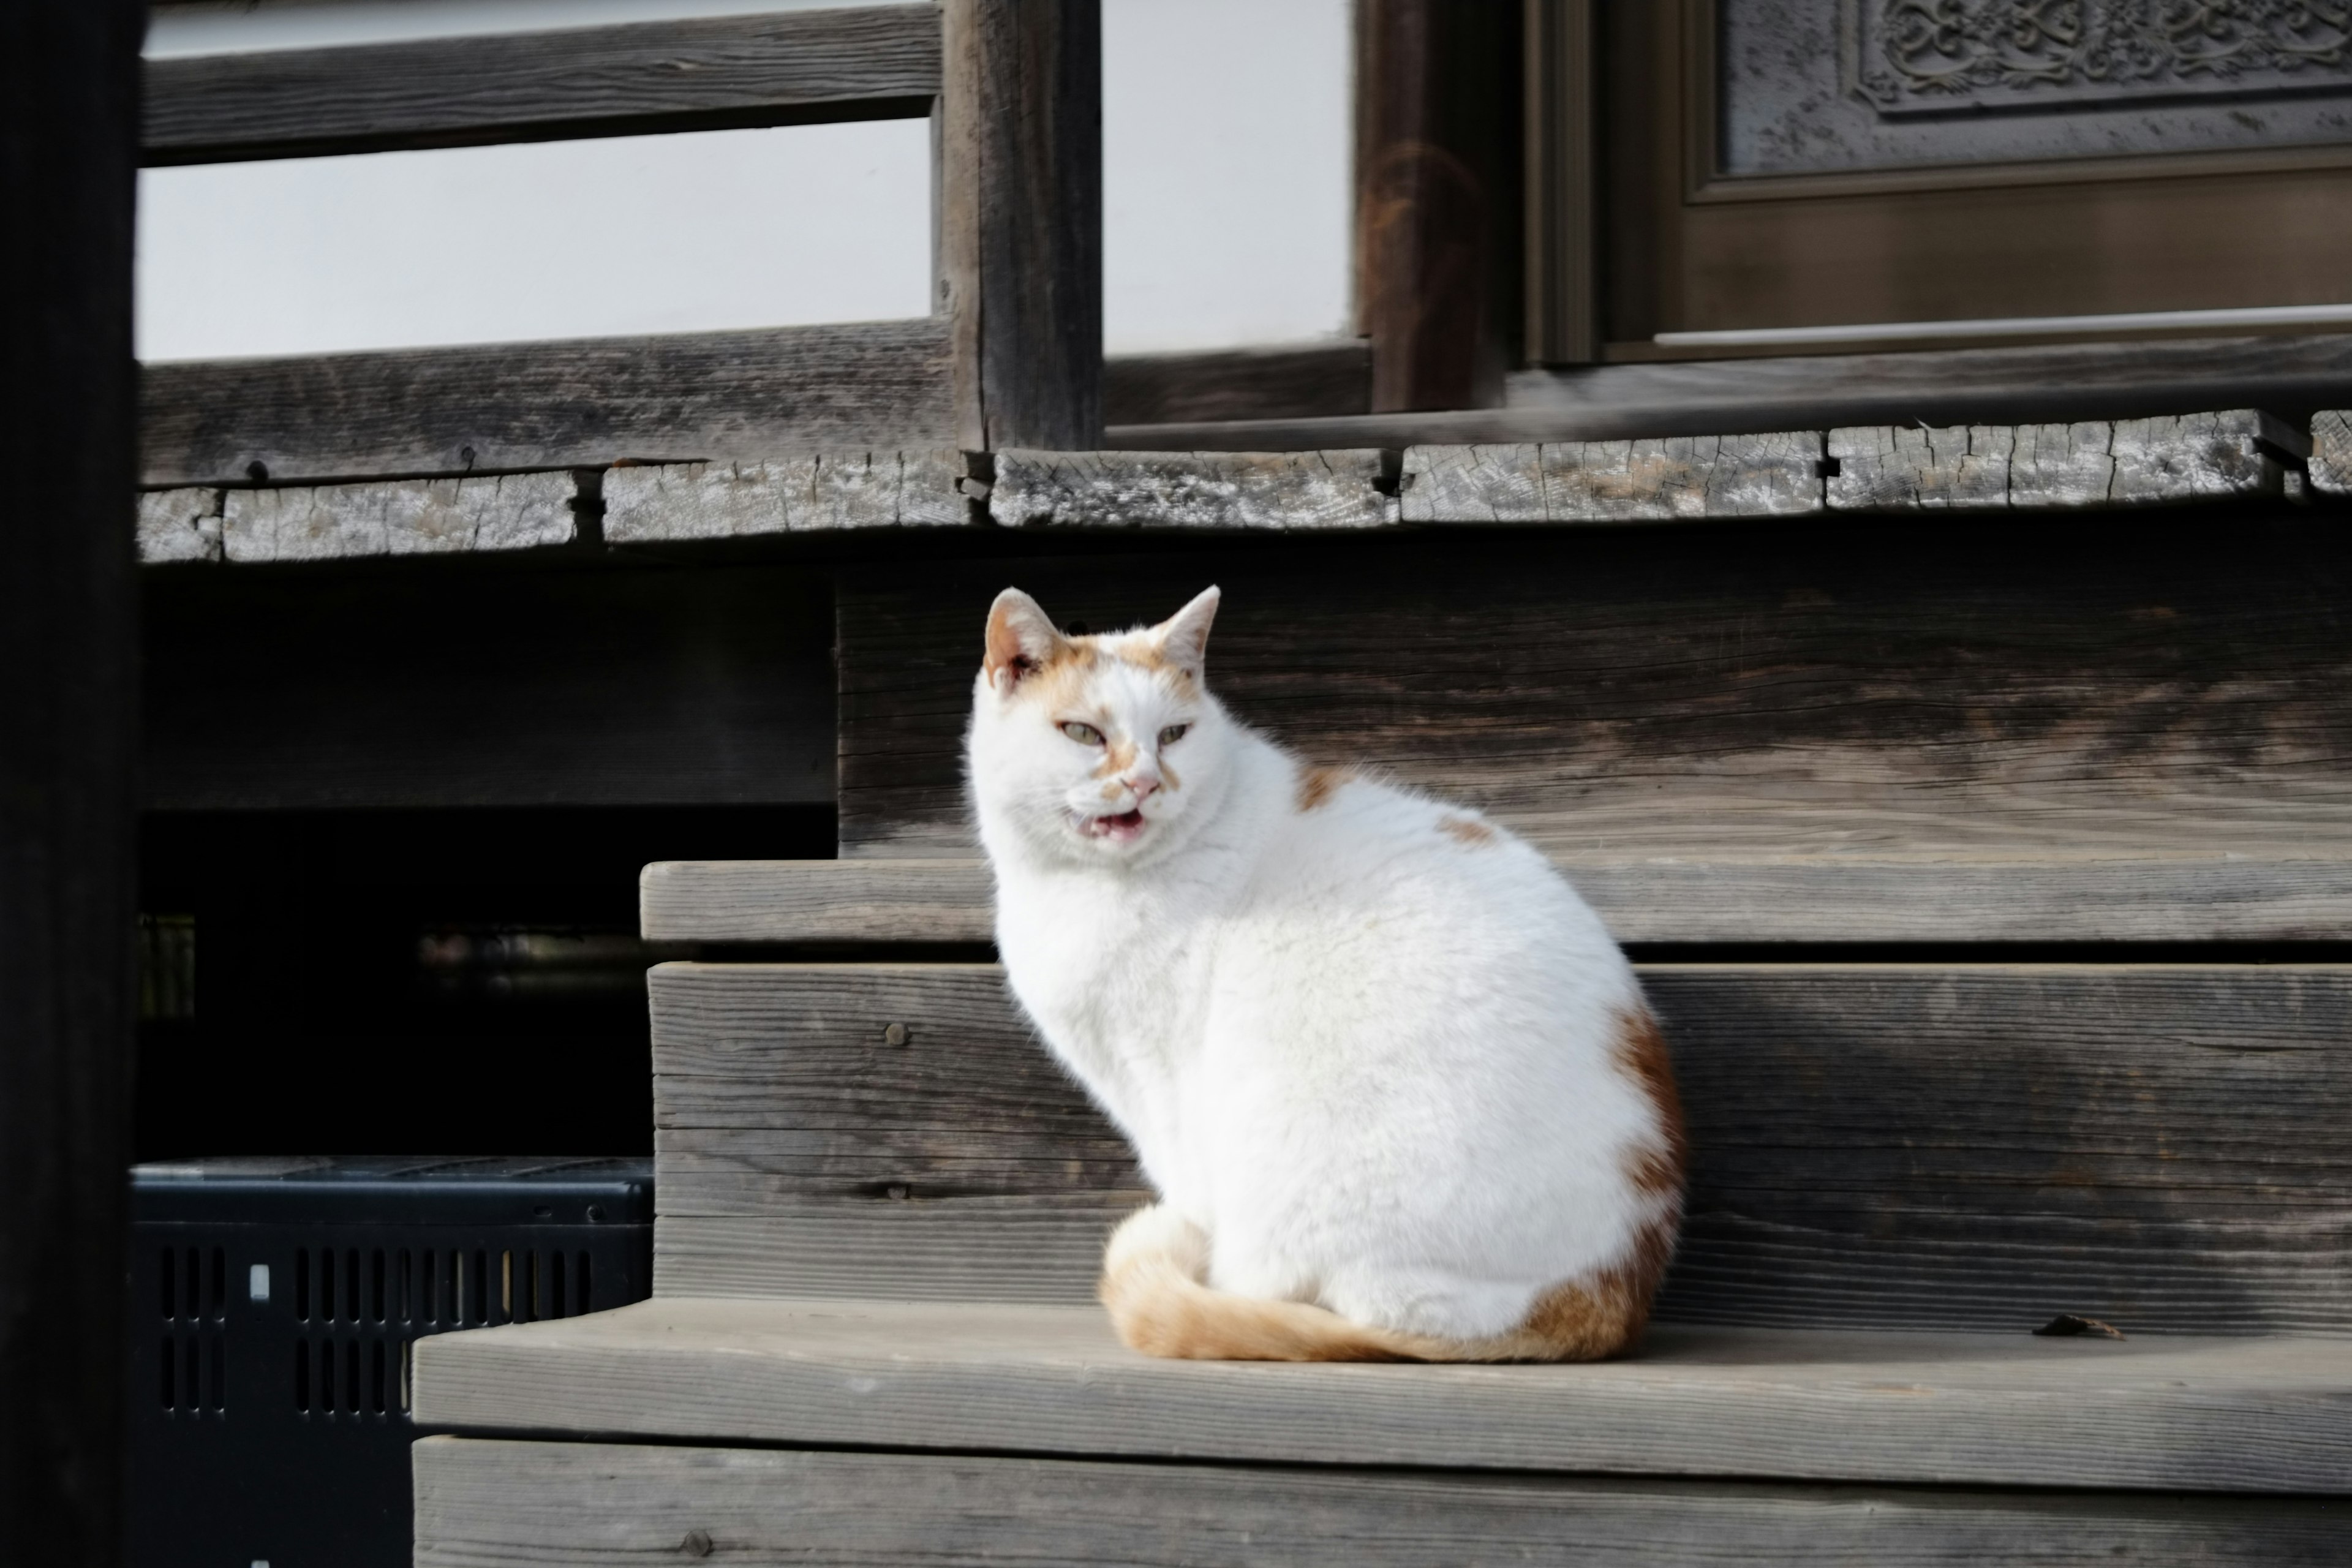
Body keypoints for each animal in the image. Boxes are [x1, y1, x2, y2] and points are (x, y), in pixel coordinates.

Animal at [964, 587, 1684, 1363]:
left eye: (1175, 734)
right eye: (1083, 734)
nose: (1147, 780)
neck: (1081, 887)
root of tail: (1608, 1294)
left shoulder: (1161, 1086)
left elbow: (1187, 1188)